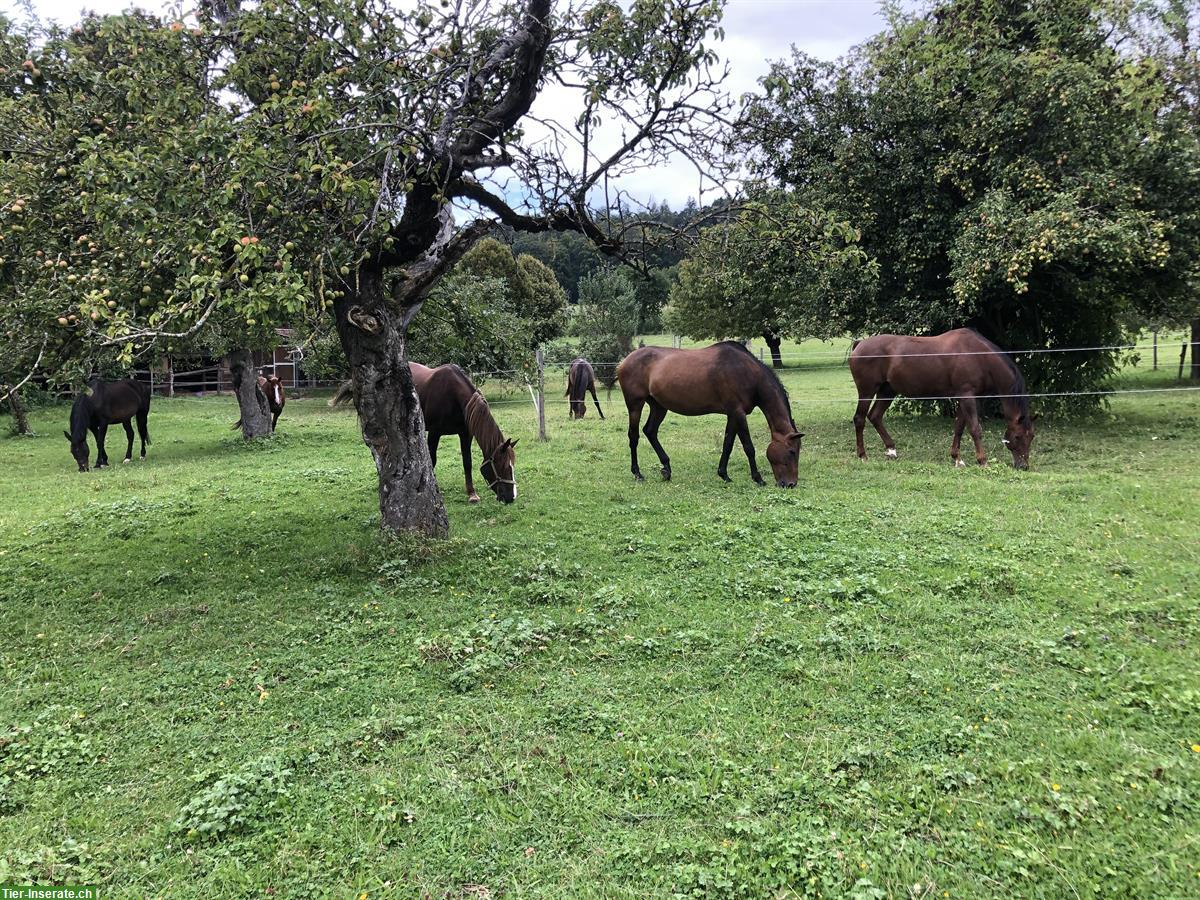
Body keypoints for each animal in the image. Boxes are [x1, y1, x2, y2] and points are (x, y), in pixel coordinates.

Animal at [614, 343, 801, 487]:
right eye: (792, 451)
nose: (791, 484)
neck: (747, 373)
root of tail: (623, 362)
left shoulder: (732, 414)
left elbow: (727, 444)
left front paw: (724, 474)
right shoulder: (738, 413)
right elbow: (749, 447)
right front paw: (758, 479)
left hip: (659, 407)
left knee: (650, 431)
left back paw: (666, 469)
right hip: (635, 405)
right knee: (634, 436)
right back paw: (638, 473)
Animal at [849, 331, 1036, 472]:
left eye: (1032, 436)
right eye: (1018, 436)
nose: (1023, 466)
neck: (978, 356)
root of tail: (860, 344)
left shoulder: (966, 398)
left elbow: (959, 427)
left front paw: (957, 459)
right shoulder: (967, 396)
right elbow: (975, 429)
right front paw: (982, 461)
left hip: (887, 391)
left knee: (875, 416)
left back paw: (891, 450)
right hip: (867, 391)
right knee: (860, 419)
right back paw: (863, 455)